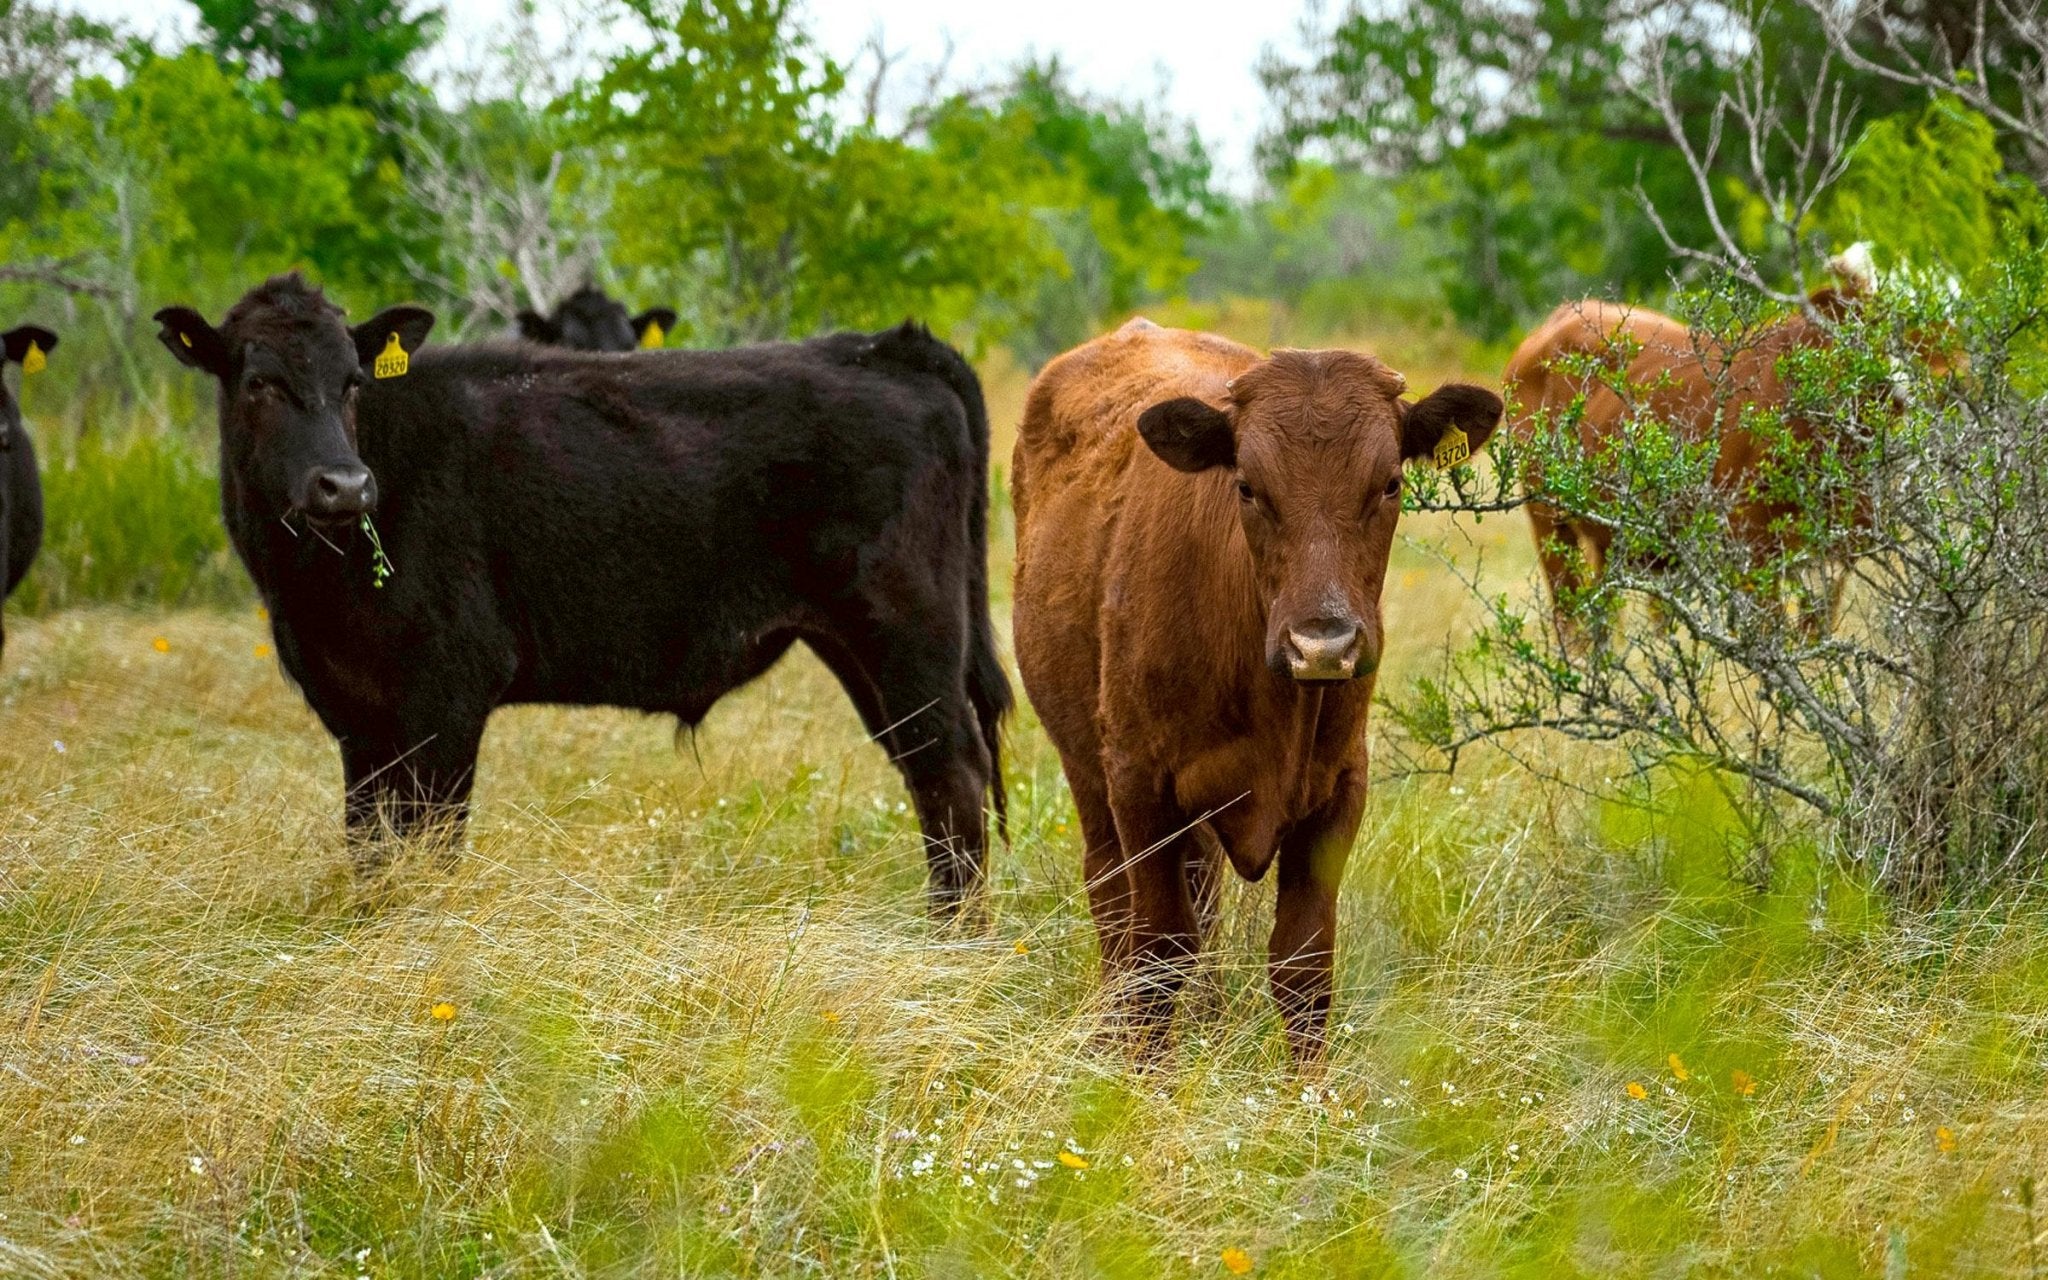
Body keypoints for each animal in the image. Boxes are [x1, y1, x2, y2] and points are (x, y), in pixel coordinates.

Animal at [1011, 318, 1503, 1062]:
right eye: (1246, 486)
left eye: (1390, 483)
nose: (1323, 643)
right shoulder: (1139, 784)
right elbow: (1157, 953)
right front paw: (1142, 1078)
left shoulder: (1338, 790)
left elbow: (1303, 965)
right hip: (1087, 771)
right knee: (1114, 905)